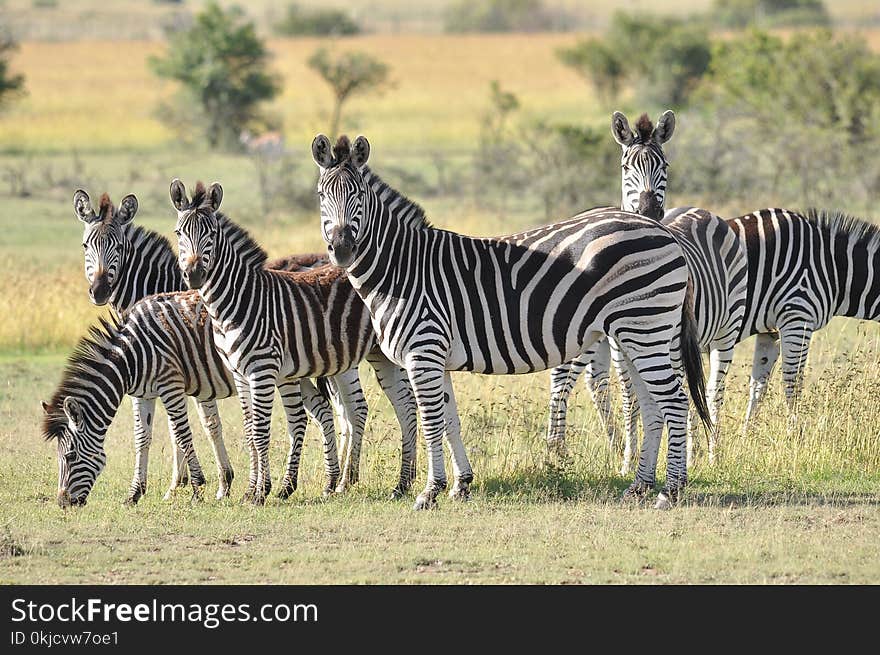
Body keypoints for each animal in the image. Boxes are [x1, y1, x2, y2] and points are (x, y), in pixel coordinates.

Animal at [171, 179, 420, 508]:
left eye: (211, 232)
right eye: (178, 233)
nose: (194, 275)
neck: (236, 299)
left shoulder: (262, 370)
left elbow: (261, 431)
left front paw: (261, 492)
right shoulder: (239, 373)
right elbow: (249, 430)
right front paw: (250, 489)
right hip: (380, 355)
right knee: (404, 405)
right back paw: (401, 483)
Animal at [308, 135, 708, 512]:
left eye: (359, 195)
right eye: (321, 195)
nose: (342, 249)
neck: (401, 268)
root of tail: (662, 230)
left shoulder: (423, 352)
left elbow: (432, 421)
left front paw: (429, 492)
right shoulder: (438, 358)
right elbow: (450, 420)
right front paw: (461, 484)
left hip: (645, 327)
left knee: (675, 401)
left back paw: (670, 491)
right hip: (634, 333)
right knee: (653, 405)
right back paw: (639, 485)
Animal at [548, 114, 744, 472]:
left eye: (664, 165)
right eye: (626, 166)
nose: (649, 208)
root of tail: (701, 211)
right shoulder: (619, 345)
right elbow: (631, 399)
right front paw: (629, 460)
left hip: (725, 331)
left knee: (713, 391)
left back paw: (710, 454)